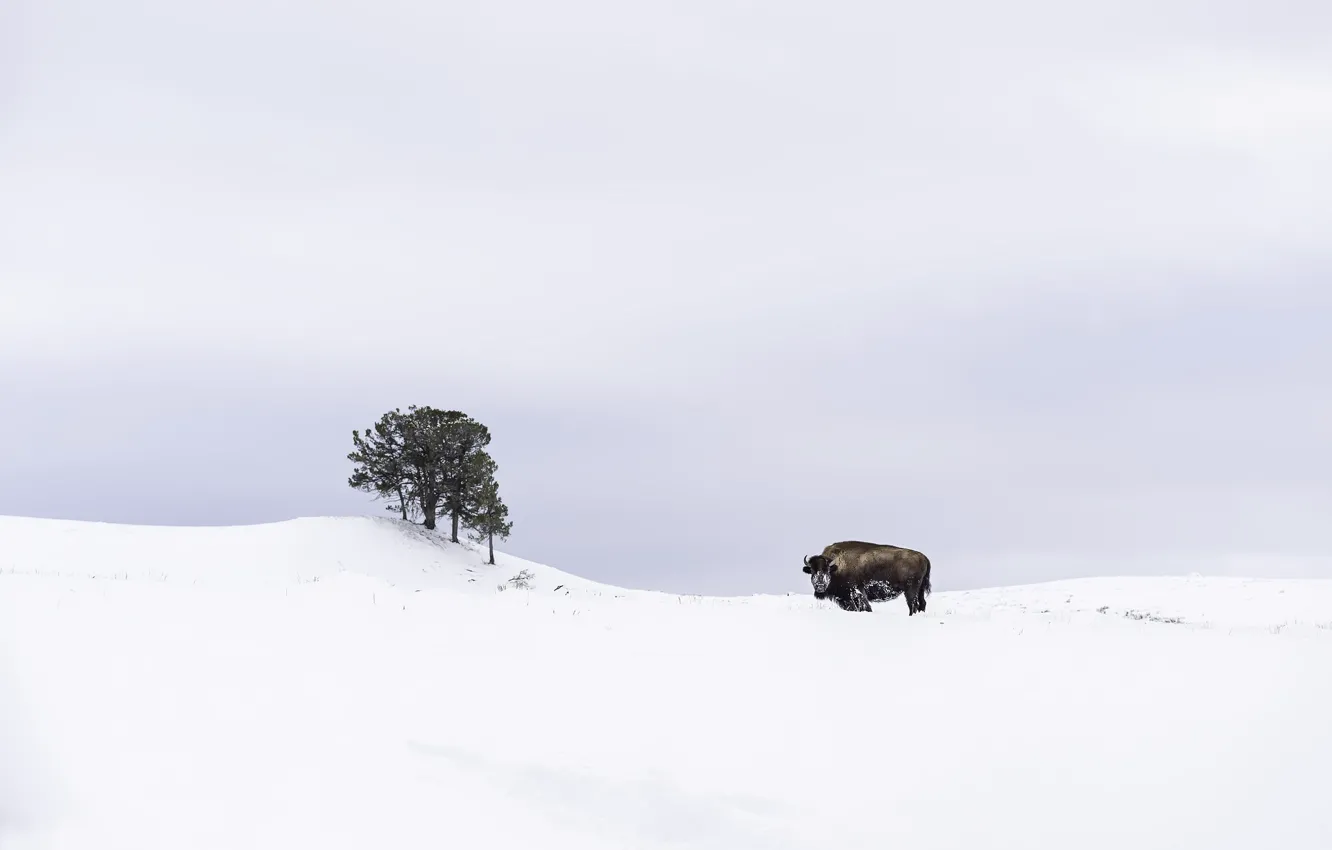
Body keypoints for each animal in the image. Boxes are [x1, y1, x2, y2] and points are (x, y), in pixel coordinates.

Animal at [802, 540, 932, 614]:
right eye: (812, 571)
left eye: (827, 570)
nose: (820, 585)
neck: (837, 567)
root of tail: (924, 557)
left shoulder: (855, 594)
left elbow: (864, 607)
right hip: (920, 589)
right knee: (922, 603)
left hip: (911, 590)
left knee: (913, 604)